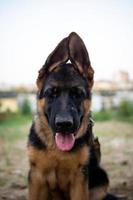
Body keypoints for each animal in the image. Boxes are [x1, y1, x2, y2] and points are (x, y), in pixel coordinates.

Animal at [27, 32, 116, 200]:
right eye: (52, 93)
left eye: (78, 94)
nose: (64, 124)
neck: (57, 150)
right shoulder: (36, 178)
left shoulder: (79, 179)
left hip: (101, 177)